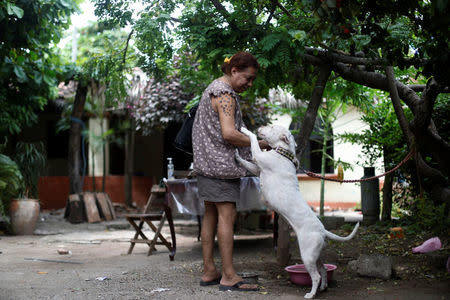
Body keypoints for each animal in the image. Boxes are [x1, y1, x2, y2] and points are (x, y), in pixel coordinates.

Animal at [236, 124, 358, 298]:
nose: (261, 126)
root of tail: (322, 230)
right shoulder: (257, 168)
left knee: (316, 275)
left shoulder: (259, 157)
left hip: (307, 255)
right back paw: (323, 287)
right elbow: (247, 163)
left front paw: (245, 130)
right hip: (315, 255)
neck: (283, 152)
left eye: (272, 127)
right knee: (323, 270)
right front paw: (236, 156)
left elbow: (252, 139)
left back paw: (311, 294)